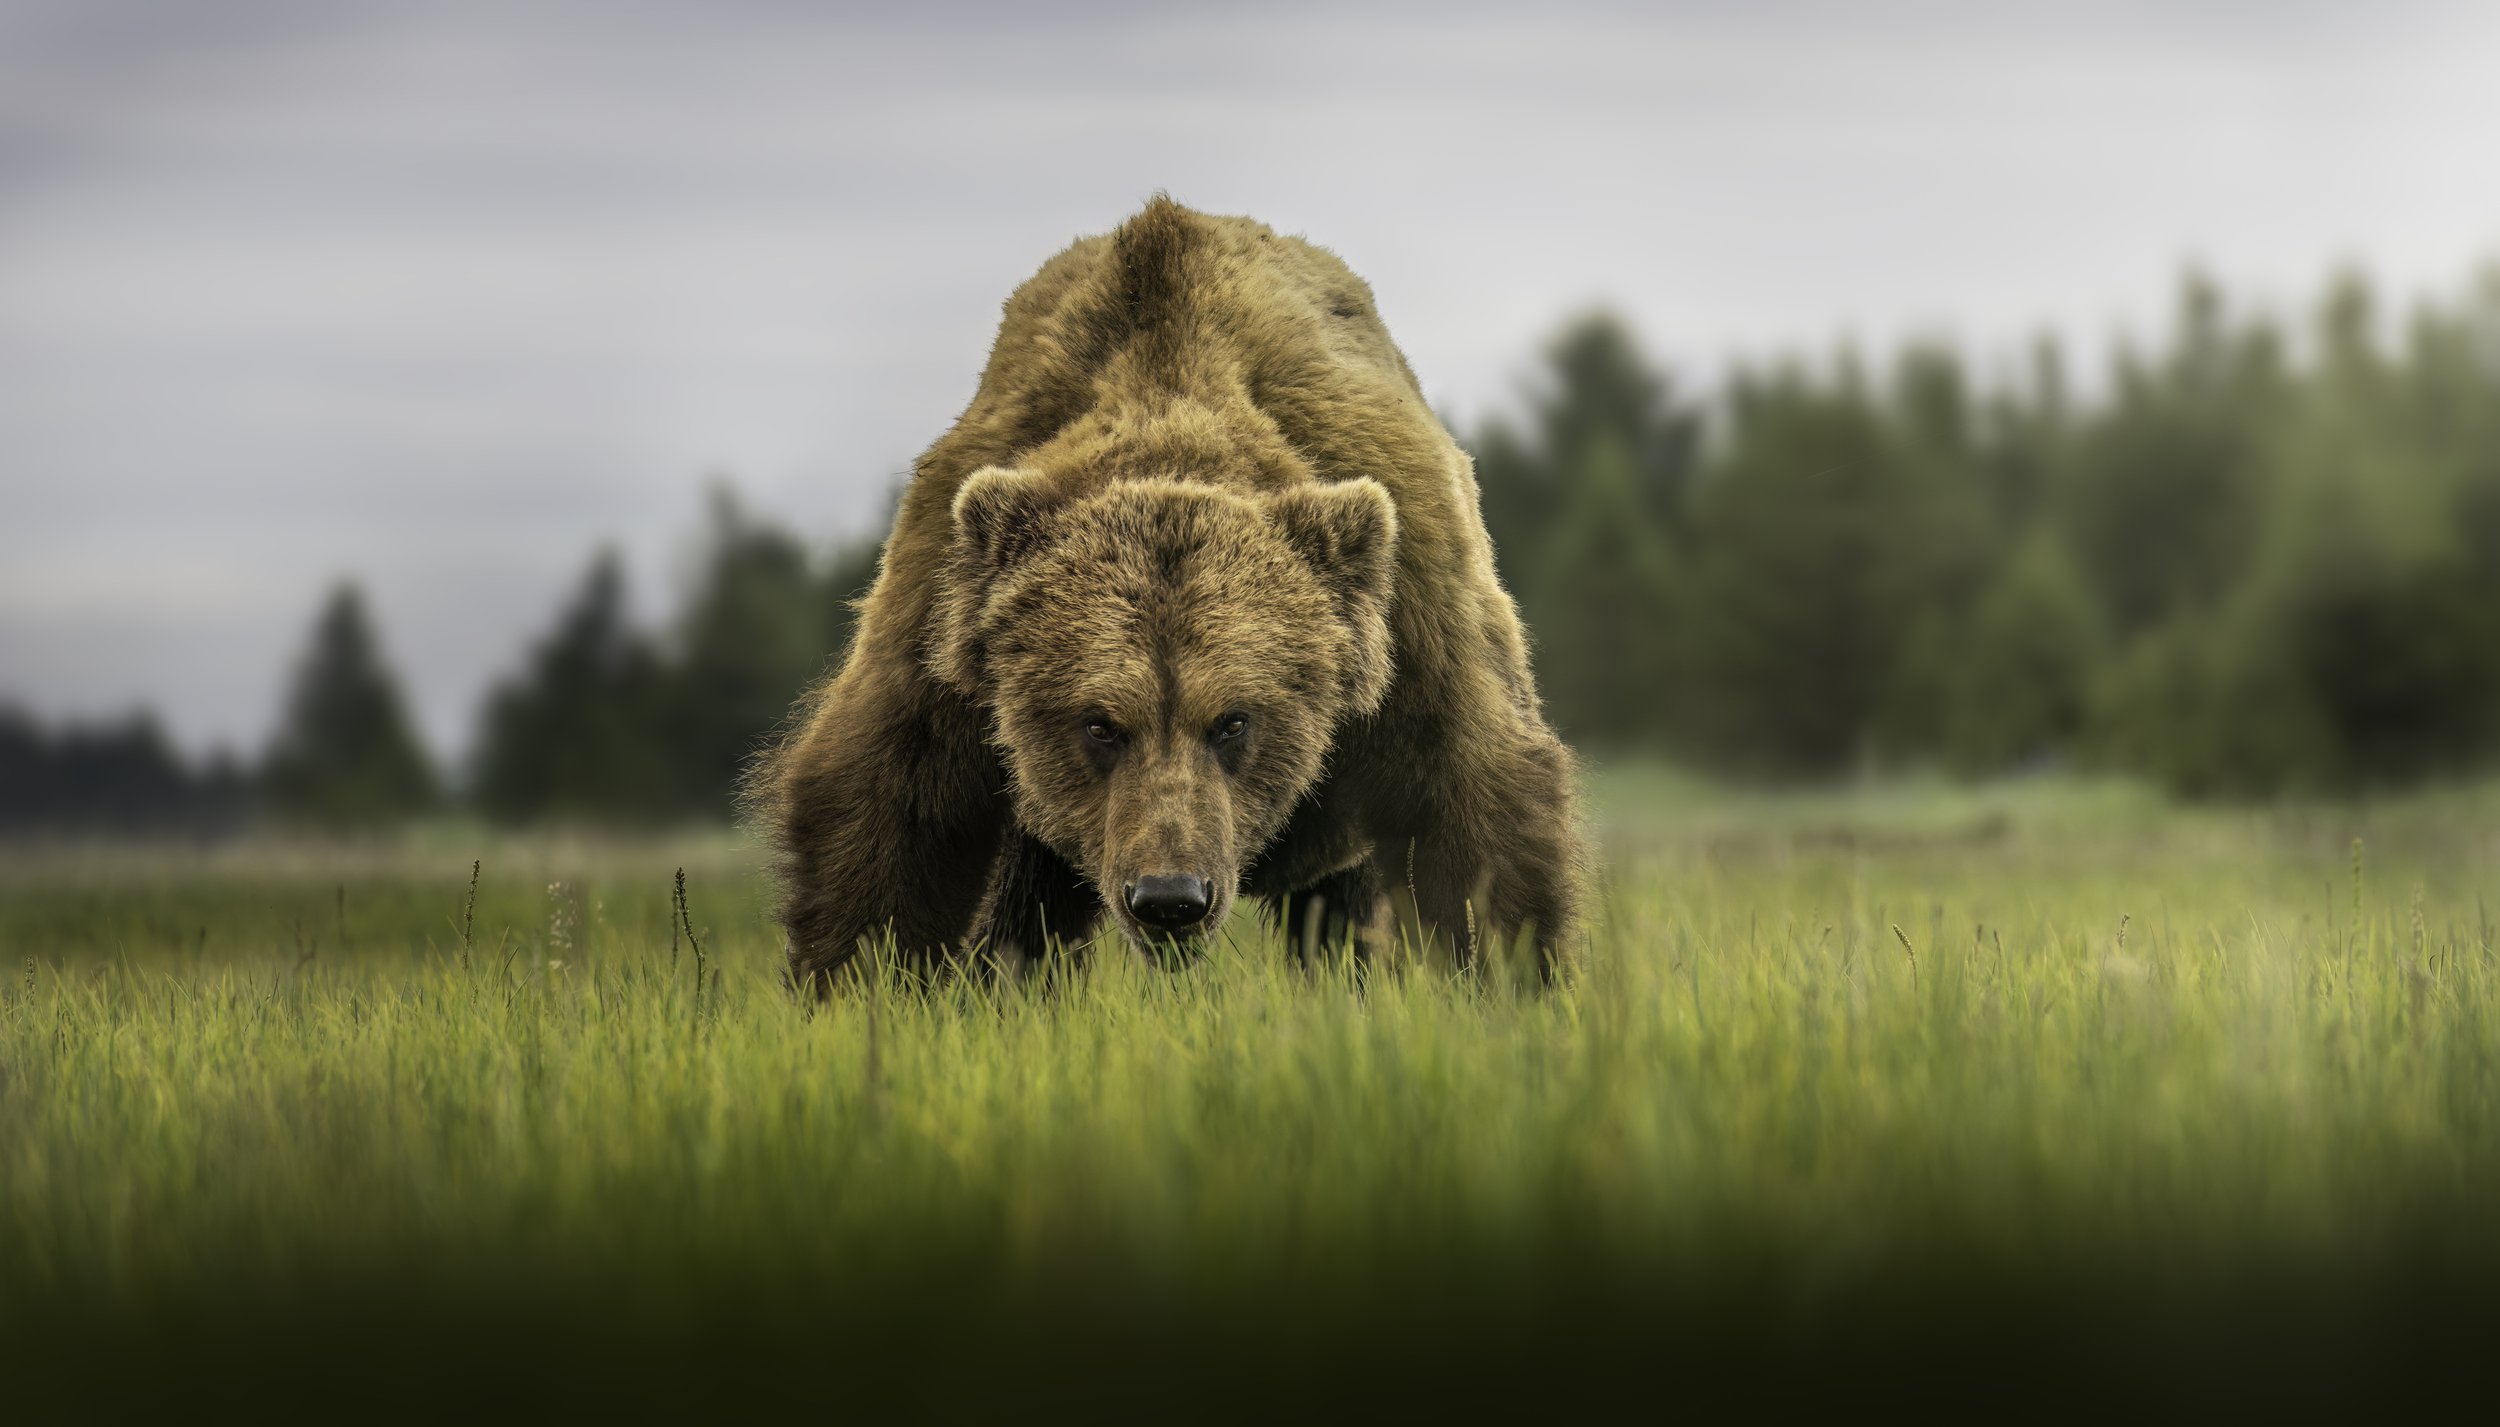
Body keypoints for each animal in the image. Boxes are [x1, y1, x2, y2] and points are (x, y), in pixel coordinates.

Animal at [749, 196, 1587, 988]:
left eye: (1234, 720)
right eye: (1098, 723)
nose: (1170, 898)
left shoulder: (1411, 610)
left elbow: (1480, 816)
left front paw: (1513, 982)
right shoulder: (945, 623)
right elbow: (883, 825)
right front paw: (860, 991)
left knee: (1333, 912)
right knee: (1027, 917)